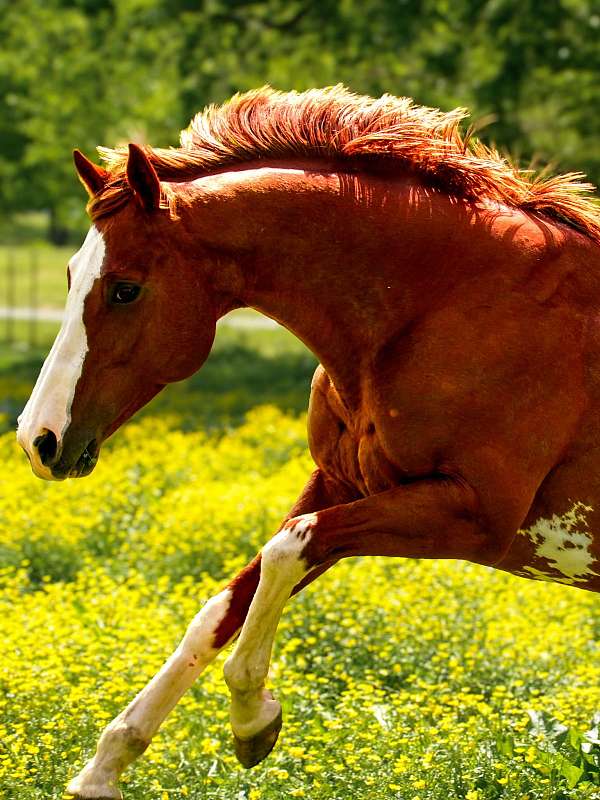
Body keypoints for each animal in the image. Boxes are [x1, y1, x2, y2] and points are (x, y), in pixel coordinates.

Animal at [16, 86, 600, 800]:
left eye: (126, 289)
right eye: (72, 275)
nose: (38, 440)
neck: (440, 306)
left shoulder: (471, 516)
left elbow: (284, 550)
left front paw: (253, 719)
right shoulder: (343, 485)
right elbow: (223, 605)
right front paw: (103, 771)